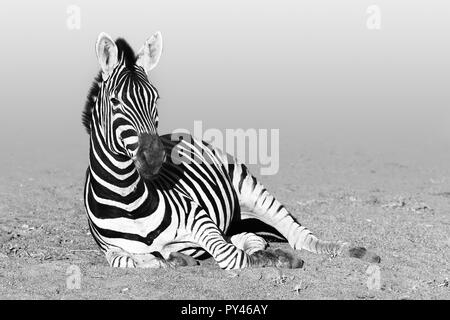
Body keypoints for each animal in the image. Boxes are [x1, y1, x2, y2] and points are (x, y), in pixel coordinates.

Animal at [81, 31, 380, 268]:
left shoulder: (199, 218)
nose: (154, 158)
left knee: (298, 236)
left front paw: (275, 260)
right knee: (252, 237)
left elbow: (229, 256)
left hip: (252, 190)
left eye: (155, 98)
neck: (127, 199)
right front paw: (173, 258)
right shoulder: (112, 250)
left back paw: (353, 251)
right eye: (115, 101)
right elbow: (132, 260)